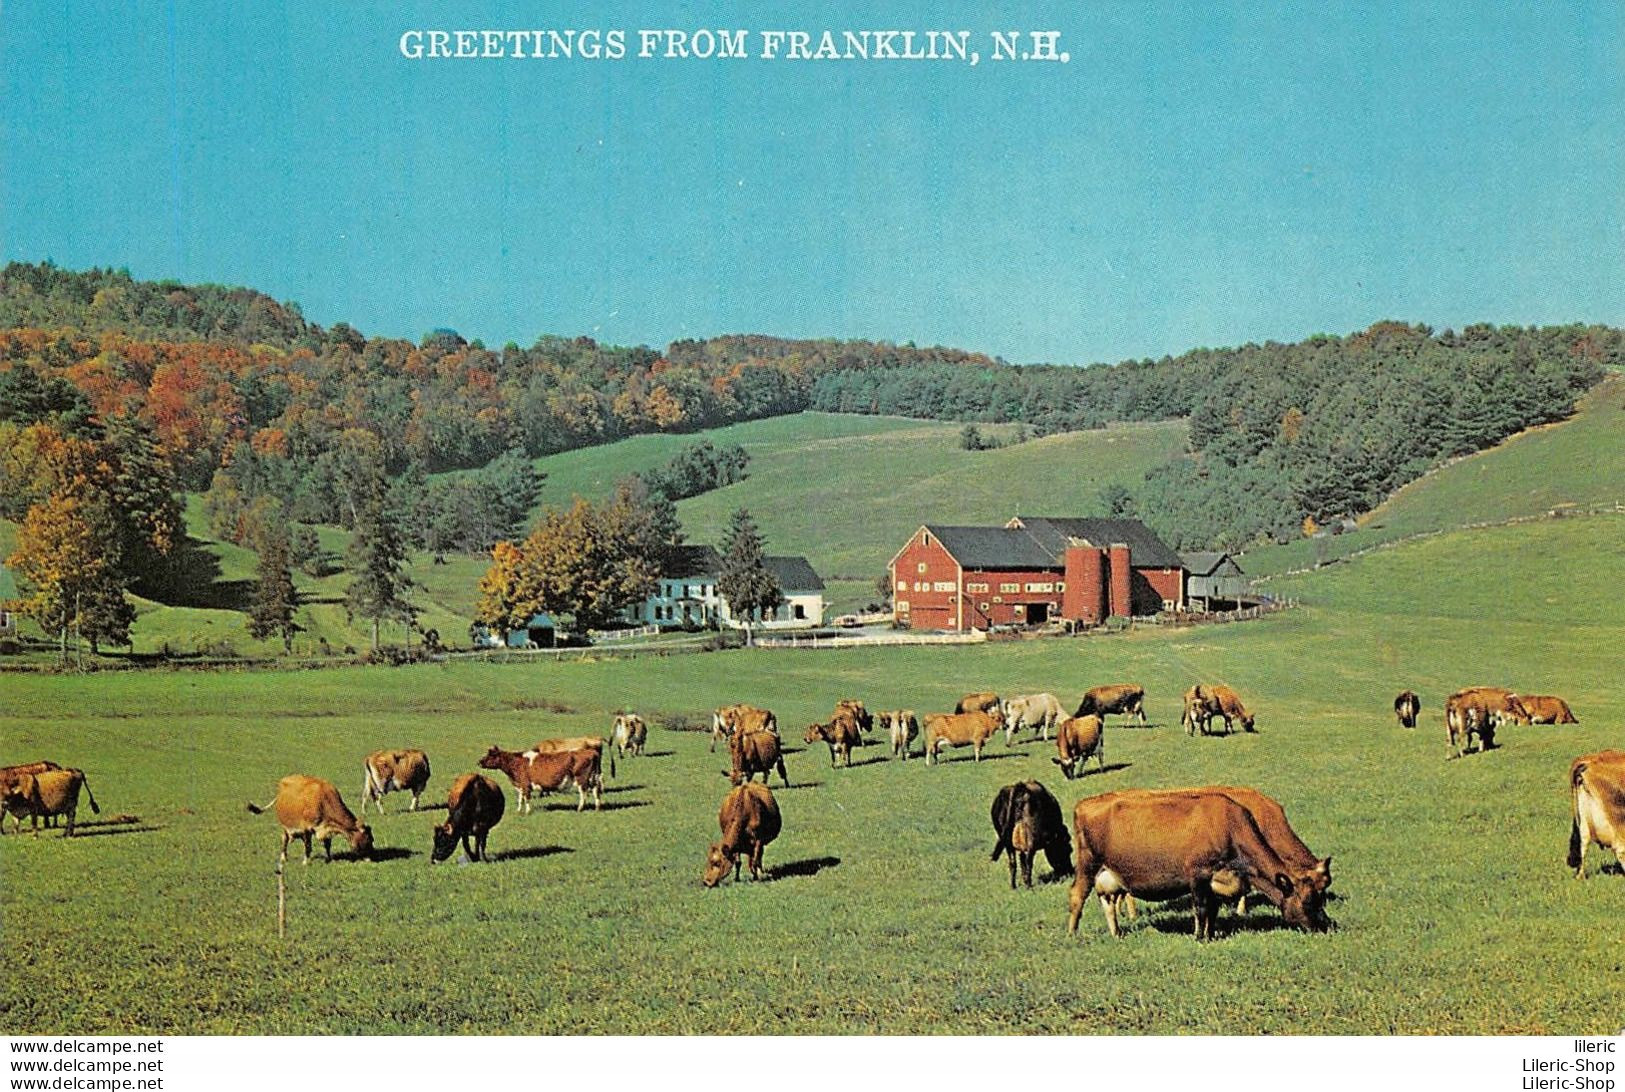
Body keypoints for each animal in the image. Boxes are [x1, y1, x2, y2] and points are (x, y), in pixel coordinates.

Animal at [243, 773, 372, 864]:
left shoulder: (326, 829)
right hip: (284, 826)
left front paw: (329, 858)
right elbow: (308, 846)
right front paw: (306, 861)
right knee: (284, 839)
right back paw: (284, 858)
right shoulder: (306, 829)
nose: (370, 858)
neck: (323, 800)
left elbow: (327, 845)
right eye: (369, 840)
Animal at [1066, 789, 1332, 942]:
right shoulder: (1197, 874)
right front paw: (1199, 937)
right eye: (1308, 901)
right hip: (1088, 864)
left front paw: (1211, 934)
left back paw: (1117, 933)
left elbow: (1213, 909)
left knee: (1107, 902)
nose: (1326, 925)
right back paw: (1072, 934)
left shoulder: (1215, 879)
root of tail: (1085, 804)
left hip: (1108, 874)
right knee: (1077, 895)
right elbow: (1201, 908)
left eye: (1321, 897)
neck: (1229, 827)